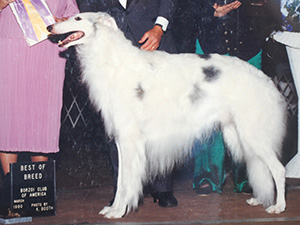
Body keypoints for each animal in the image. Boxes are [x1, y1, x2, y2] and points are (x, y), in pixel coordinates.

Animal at [48, 11, 288, 218]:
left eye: (78, 18)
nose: (50, 26)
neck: (113, 61)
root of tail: (266, 80)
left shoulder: (129, 139)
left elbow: (126, 182)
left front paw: (119, 211)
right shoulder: (121, 140)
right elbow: (120, 180)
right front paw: (113, 208)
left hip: (252, 134)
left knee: (278, 169)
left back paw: (279, 206)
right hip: (241, 135)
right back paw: (259, 199)